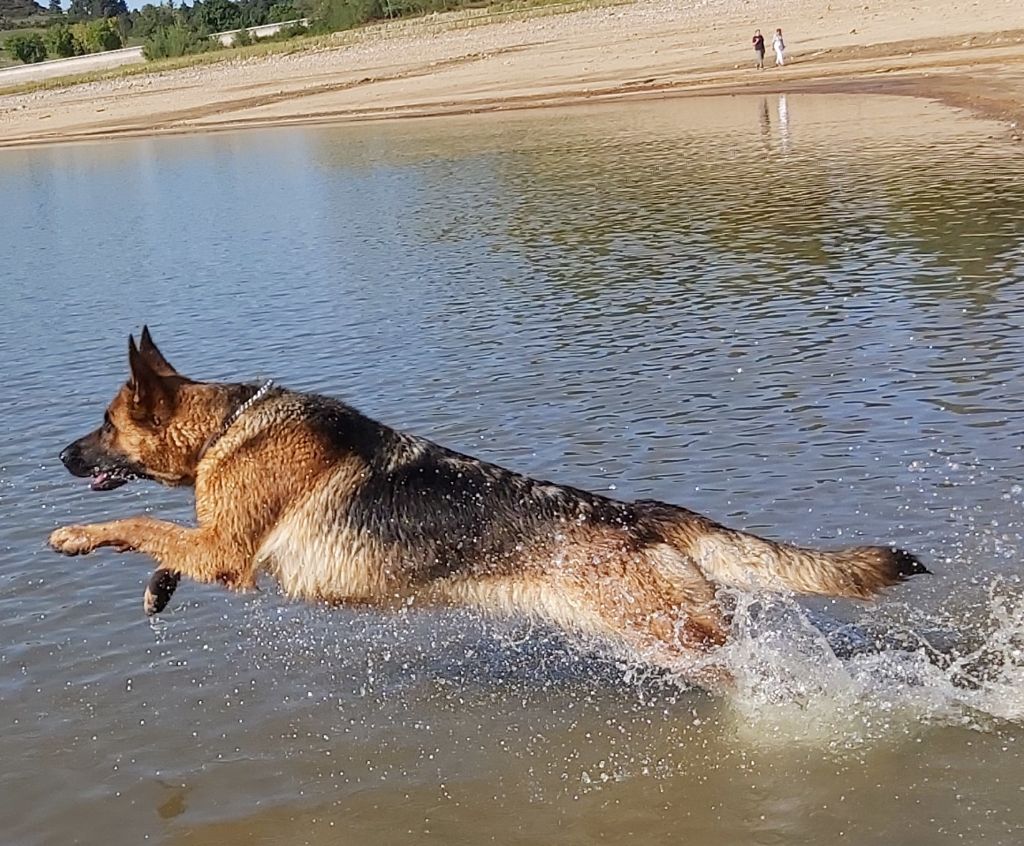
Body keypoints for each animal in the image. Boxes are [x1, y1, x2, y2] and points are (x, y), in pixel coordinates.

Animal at [49, 327, 929, 684]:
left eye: (104, 425)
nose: (58, 457)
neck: (226, 425)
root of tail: (642, 513)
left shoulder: (228, 552)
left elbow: (139, 523)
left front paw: (72, 536)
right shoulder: (216, 546)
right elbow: (165, 538)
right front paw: (157, 587)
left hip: (674, 639)